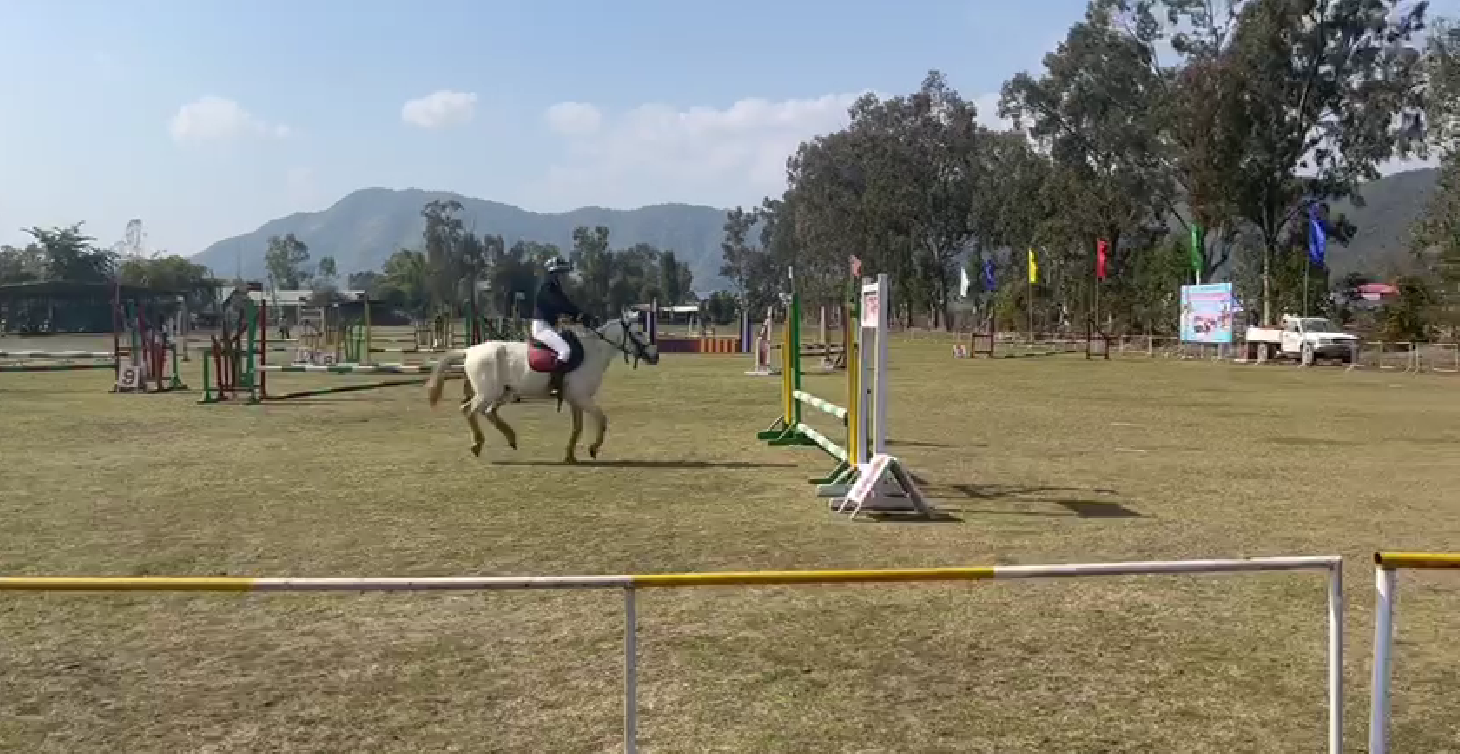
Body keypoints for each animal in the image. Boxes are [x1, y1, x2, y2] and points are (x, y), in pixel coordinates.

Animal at [426, 315, 659, 461]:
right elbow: (601, 419)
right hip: (487, 393)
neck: (592, 352)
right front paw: (594, 448)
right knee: (470, 410)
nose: (655, 356)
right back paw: (477, 444)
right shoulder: (582, 398)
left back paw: (510, 438)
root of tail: (470, 350)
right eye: (639, 332)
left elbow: (578, 427)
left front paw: (570, 455)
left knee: (488, 412)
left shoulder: (575, 400)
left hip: (504, 393)